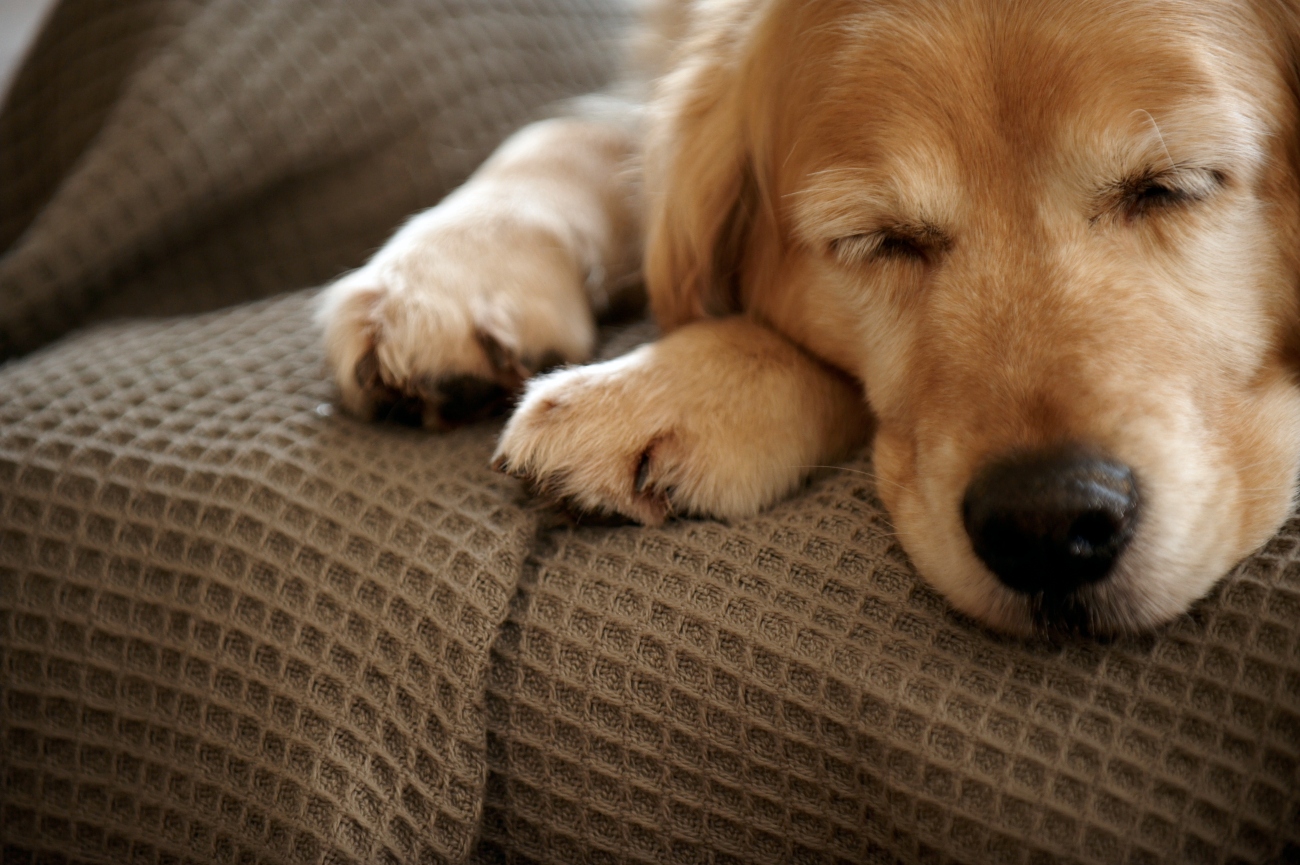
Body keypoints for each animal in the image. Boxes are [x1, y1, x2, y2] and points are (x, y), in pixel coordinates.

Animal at [314, 0, 1300, 634]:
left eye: (1173, 186)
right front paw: (446, 275)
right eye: (876, 240)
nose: (1047, 527)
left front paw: (669, 386)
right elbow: (573, 132)